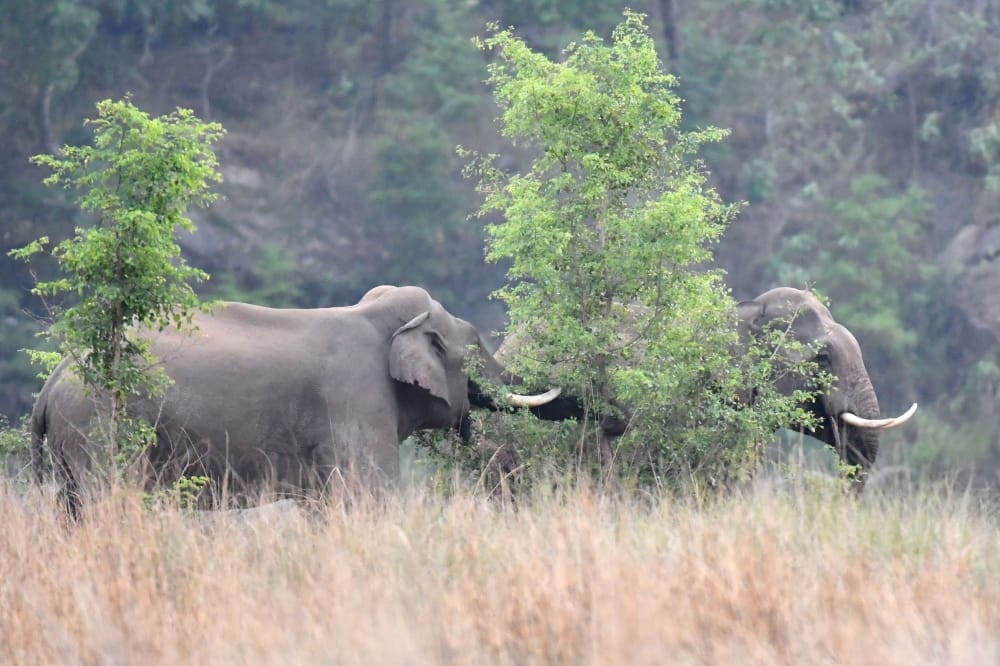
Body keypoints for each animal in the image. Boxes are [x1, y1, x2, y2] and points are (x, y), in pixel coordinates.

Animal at [30, 285, 570, 515]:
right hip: (101, 426)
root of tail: (53, 382)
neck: (374, 315)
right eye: (474, 346)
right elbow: (370, 492)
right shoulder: (356, 399)